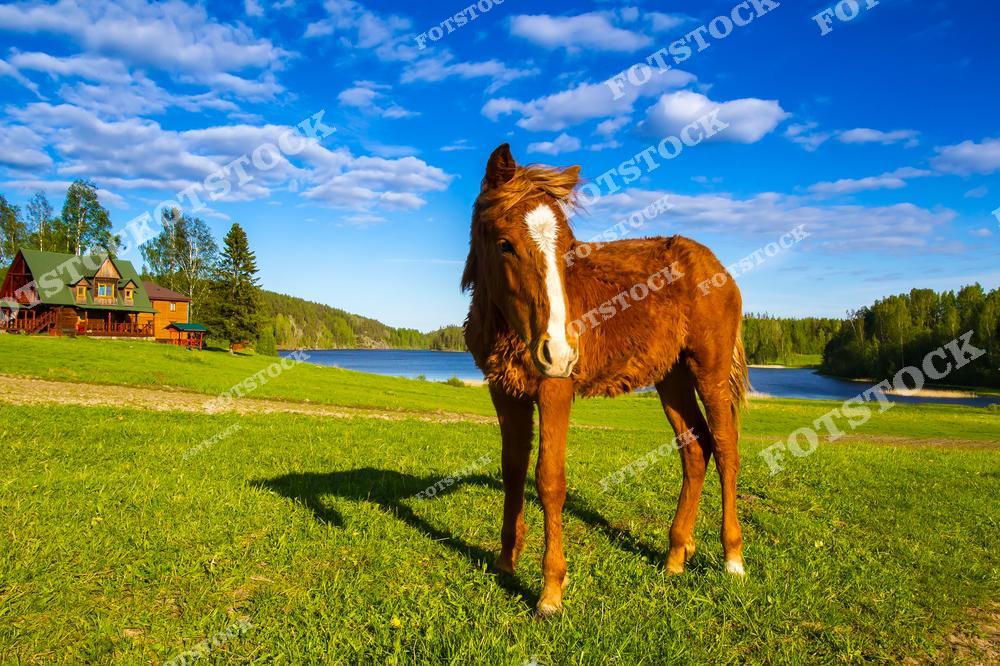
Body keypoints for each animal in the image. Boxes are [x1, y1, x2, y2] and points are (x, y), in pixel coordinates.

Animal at [462, 144, 750, 617]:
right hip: (671, 379)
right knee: (696, 448)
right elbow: (512, 469)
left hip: (709, 371)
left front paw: (551, 592)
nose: (560, 351)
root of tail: (719, 267)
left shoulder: (554, 390)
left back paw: (733, 559)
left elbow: (549, 480)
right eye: (504, 244)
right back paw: (676, 555)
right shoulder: (505, 392)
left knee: (726, 447)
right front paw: (506, 562)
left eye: (568, 249)